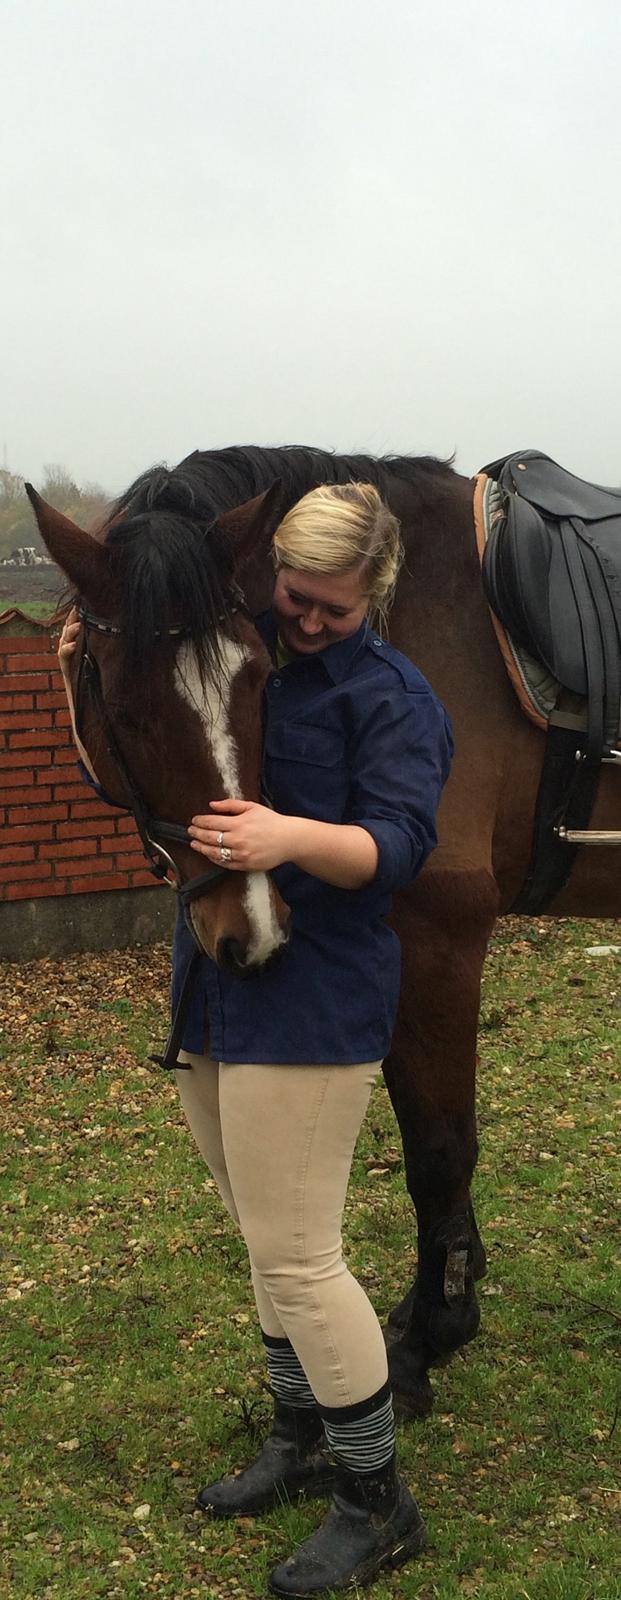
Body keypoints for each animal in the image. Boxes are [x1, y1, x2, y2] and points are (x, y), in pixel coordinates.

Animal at [26, 445, 621, 1421]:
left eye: (255, 680)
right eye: (125, 703)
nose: (253, 931)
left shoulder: (439, 938)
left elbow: (438, 1148)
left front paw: (429, 1340)